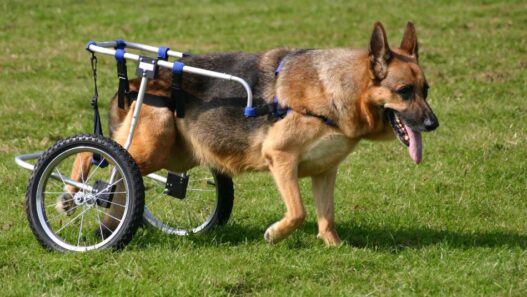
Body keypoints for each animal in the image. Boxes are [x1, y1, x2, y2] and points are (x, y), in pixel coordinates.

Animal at [60, 21, 438, 245]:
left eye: (426, 90)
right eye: (404, 91)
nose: (433, 124)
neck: (333, 93)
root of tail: (136, 81)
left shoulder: (324, 172)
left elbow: (326, 218)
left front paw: (335, 248)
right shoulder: (281, 158)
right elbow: (298, 213)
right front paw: (274, 234)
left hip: (170, 153)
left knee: (121, 180)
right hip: (150, 144)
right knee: (94, 158)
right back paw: (71, 193)